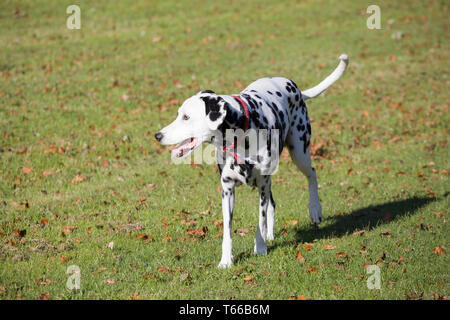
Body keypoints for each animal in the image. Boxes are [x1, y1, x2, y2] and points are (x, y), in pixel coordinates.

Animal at [155, 54, 348, 268]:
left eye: (186, 117)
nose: (158, 135)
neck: (241, 136)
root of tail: (295, 88)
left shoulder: (262, 184)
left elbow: (260, 221)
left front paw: (260, 247)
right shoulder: (228, 189)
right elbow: (228, 231)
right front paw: (226, 260)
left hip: (300, 152)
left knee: (311, 174)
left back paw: (314, 209)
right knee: (273, 203)